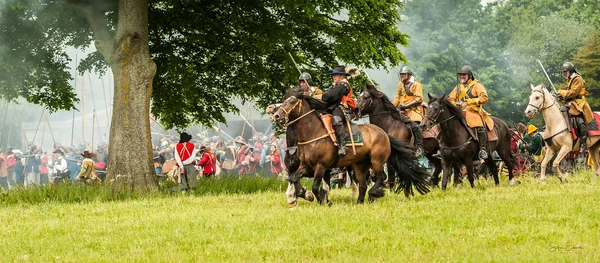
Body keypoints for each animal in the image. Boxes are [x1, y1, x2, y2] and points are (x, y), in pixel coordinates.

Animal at [272, 89, 432, 205]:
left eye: (292, 101)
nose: (277, 115)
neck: (313, 133)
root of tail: (384, 133)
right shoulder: (305, 166)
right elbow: (293, 178)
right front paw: (304, 195)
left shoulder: (320, 166)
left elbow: (316, 186)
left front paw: (323, 201)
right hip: (360, 165)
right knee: (363, 184)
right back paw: (360, 201)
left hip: (377, 161)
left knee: (381, 177)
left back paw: (375, 193)